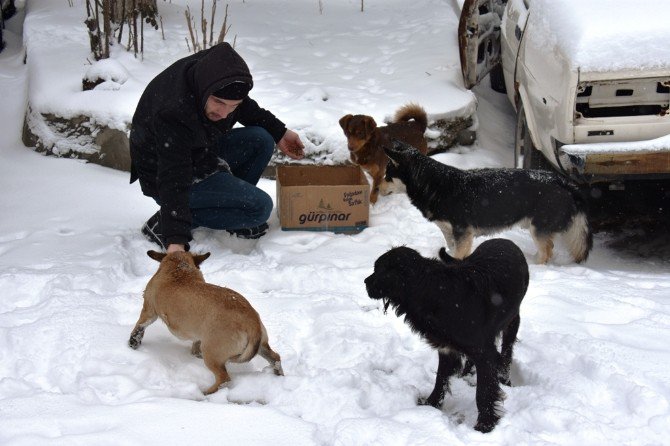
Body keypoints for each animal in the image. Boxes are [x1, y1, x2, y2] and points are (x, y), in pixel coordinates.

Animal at [129, 251, 284, 394]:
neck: (179, 270)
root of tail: (252, 321)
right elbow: (195, 343)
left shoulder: (149, 311)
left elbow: (139, 327)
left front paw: (133, 343)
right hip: (262, 346)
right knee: (275, 358)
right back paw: (278, 374)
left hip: (211, 354)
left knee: (224, 379)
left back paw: (205, 393)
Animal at [368, 239, 532, 434]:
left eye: (378, 270)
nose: (365, 282)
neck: (438, 293)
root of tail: (506, 240)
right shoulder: (447, 348)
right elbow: (440, 378)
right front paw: (431, 404)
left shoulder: (484, 352)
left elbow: (483, 392)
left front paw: (485, 425)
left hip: (512, 320)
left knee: (507, 351)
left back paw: (505, 379)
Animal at [380, 139, 596, 264]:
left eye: (387, 176)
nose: (377, 191)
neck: (432, 184)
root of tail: (564, 182)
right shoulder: (450, 233)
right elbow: (451, 251)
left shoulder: (463, 233)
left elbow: (457, 256)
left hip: (538, 228)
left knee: (546, 252)